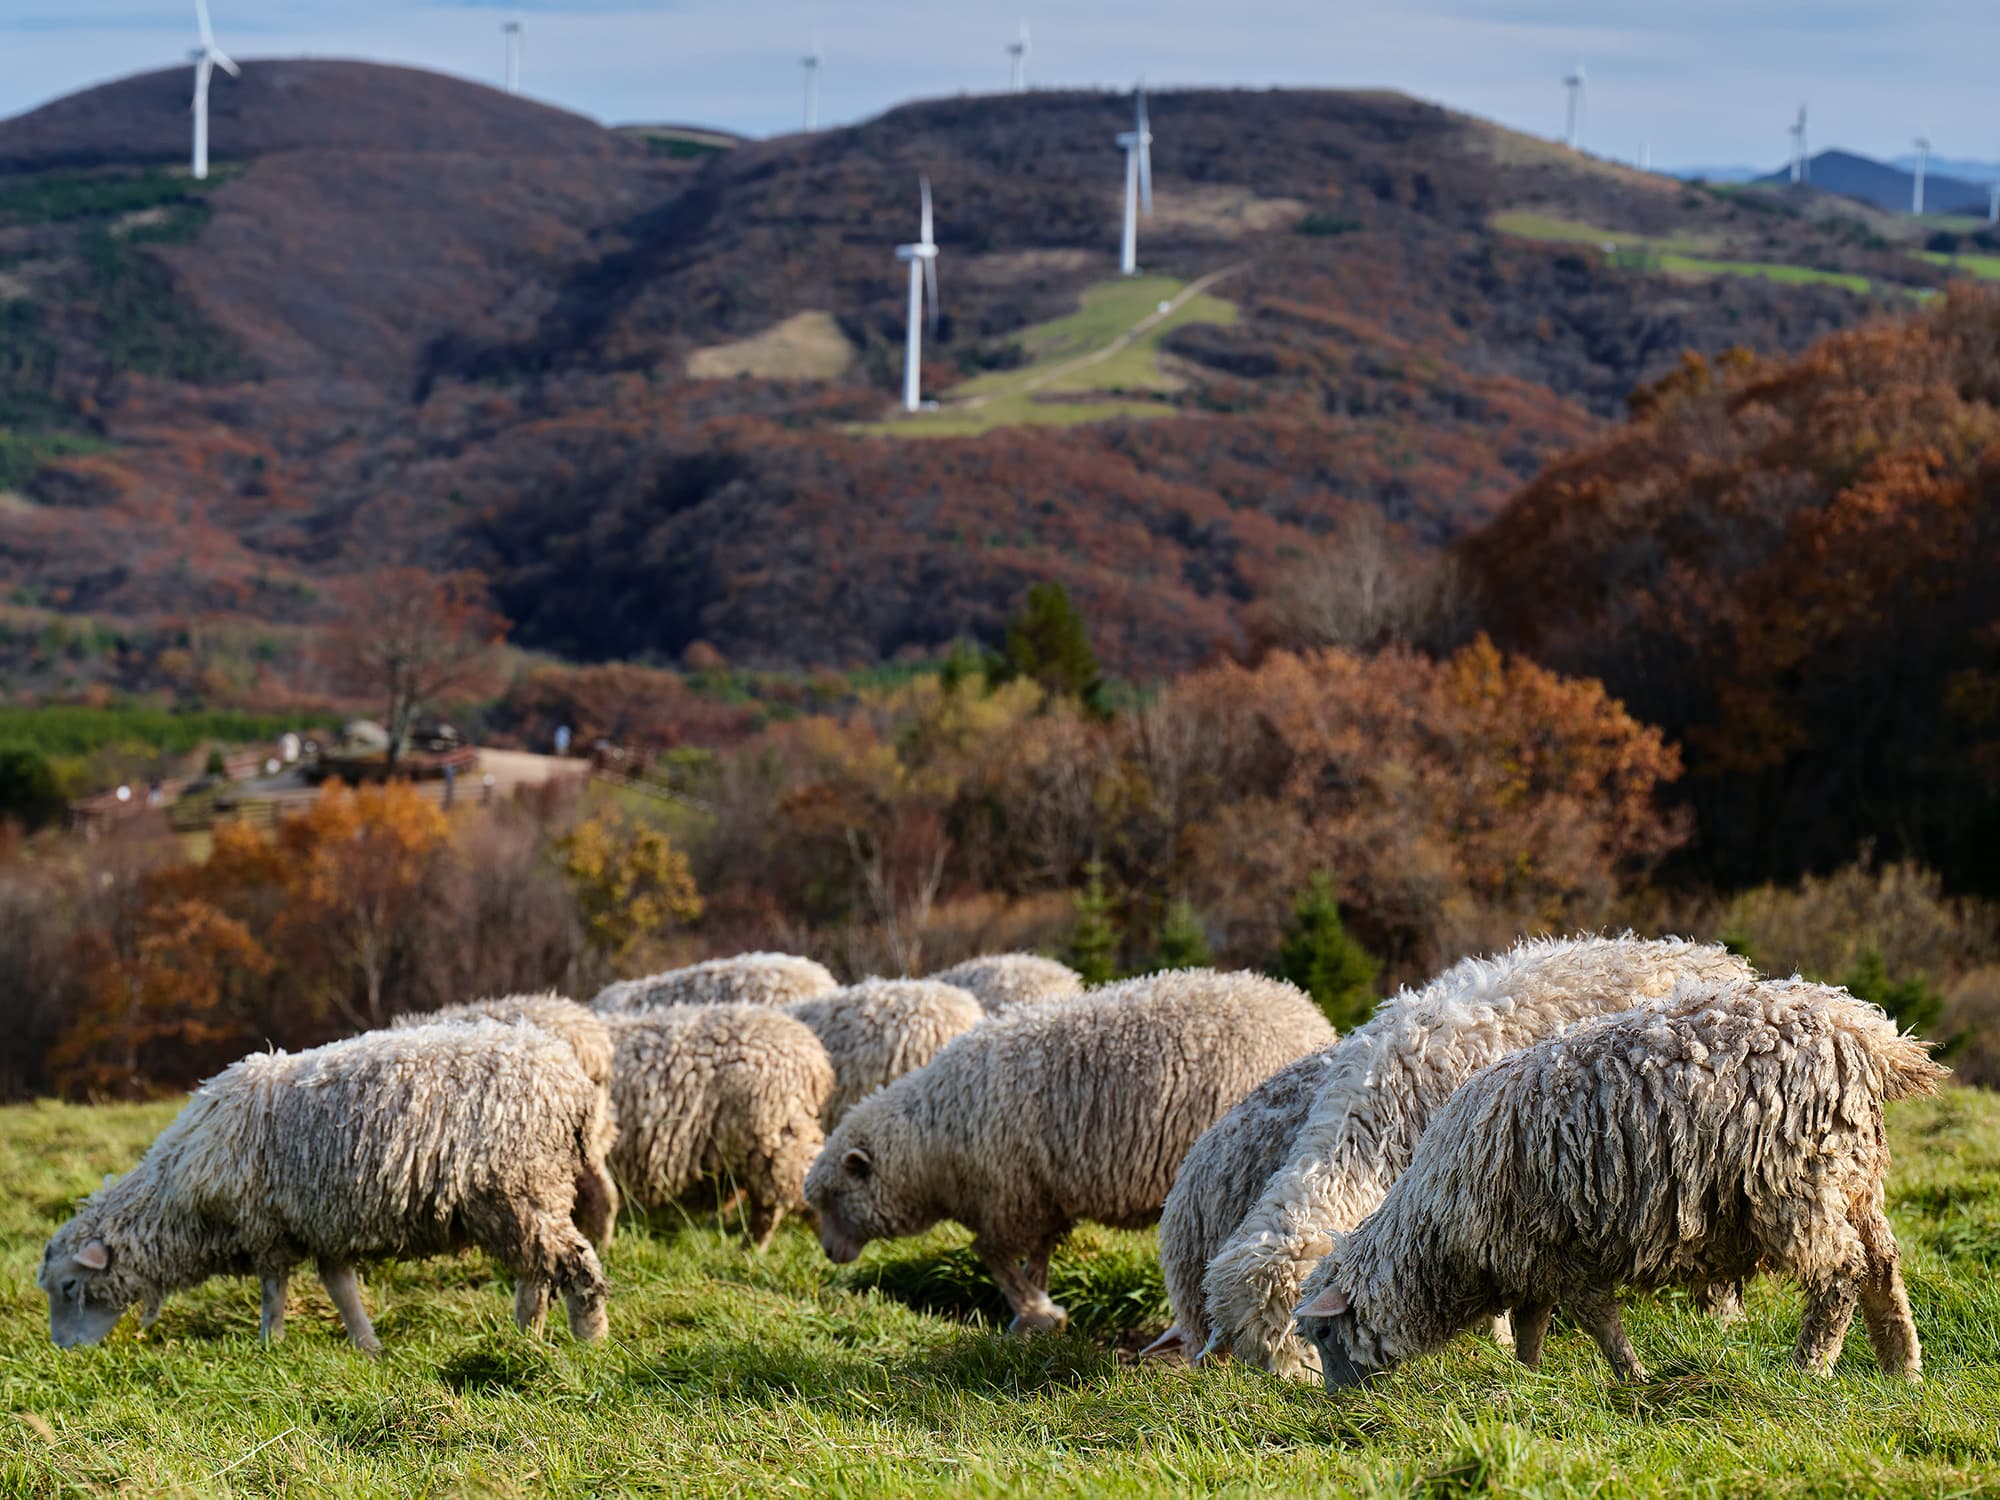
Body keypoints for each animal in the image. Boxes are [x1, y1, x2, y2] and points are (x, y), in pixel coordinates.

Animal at [38, 1021, 612, 1354]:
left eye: (69, 1286)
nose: (63, 1351)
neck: (178, 1191)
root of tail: (571, 1081)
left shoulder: (265, 1226)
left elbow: (273, 1292)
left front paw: (269, 1346)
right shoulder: (323, 1225)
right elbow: (341, 1289)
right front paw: (367, 1346)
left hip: (518, 1187)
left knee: (573, 1262)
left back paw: (588, 1339)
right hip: (526, 1196)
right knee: (536, 1271)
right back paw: (526, 1336)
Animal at [805, 969, 1337, 1333]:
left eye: (835, 1196)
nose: (828, 1253)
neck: (933, 1138)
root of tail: (1307, 1015)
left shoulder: (1007, 1197)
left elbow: (991, 1254)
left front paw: (1034, 1311)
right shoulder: (1039, 1198)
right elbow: (1037, 1254)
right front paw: (1038, 1312)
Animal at [1203, 935, 1753, 1378]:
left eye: (1301, 1335)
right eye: (1255, 1353)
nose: (1293, 1390)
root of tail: (1715, 955)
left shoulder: (1475, 1195)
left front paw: (1500, 1342)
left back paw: (1723, 1321)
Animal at [1293, 978, 1943, 1388]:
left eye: (1324, 1334)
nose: (1336, 1401)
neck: (1437, 1235)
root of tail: (1863, 1032)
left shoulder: (1562, 1252)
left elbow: (1597, 1321)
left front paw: (1631, 1376)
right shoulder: (1533, 1261)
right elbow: (1532, 1326)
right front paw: (1528, 1379)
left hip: (1792, 1182)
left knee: (1841, 1272)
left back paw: (1809, 1367)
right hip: (1852, 1173)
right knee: (1883, 1264)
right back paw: (1902, 1367)